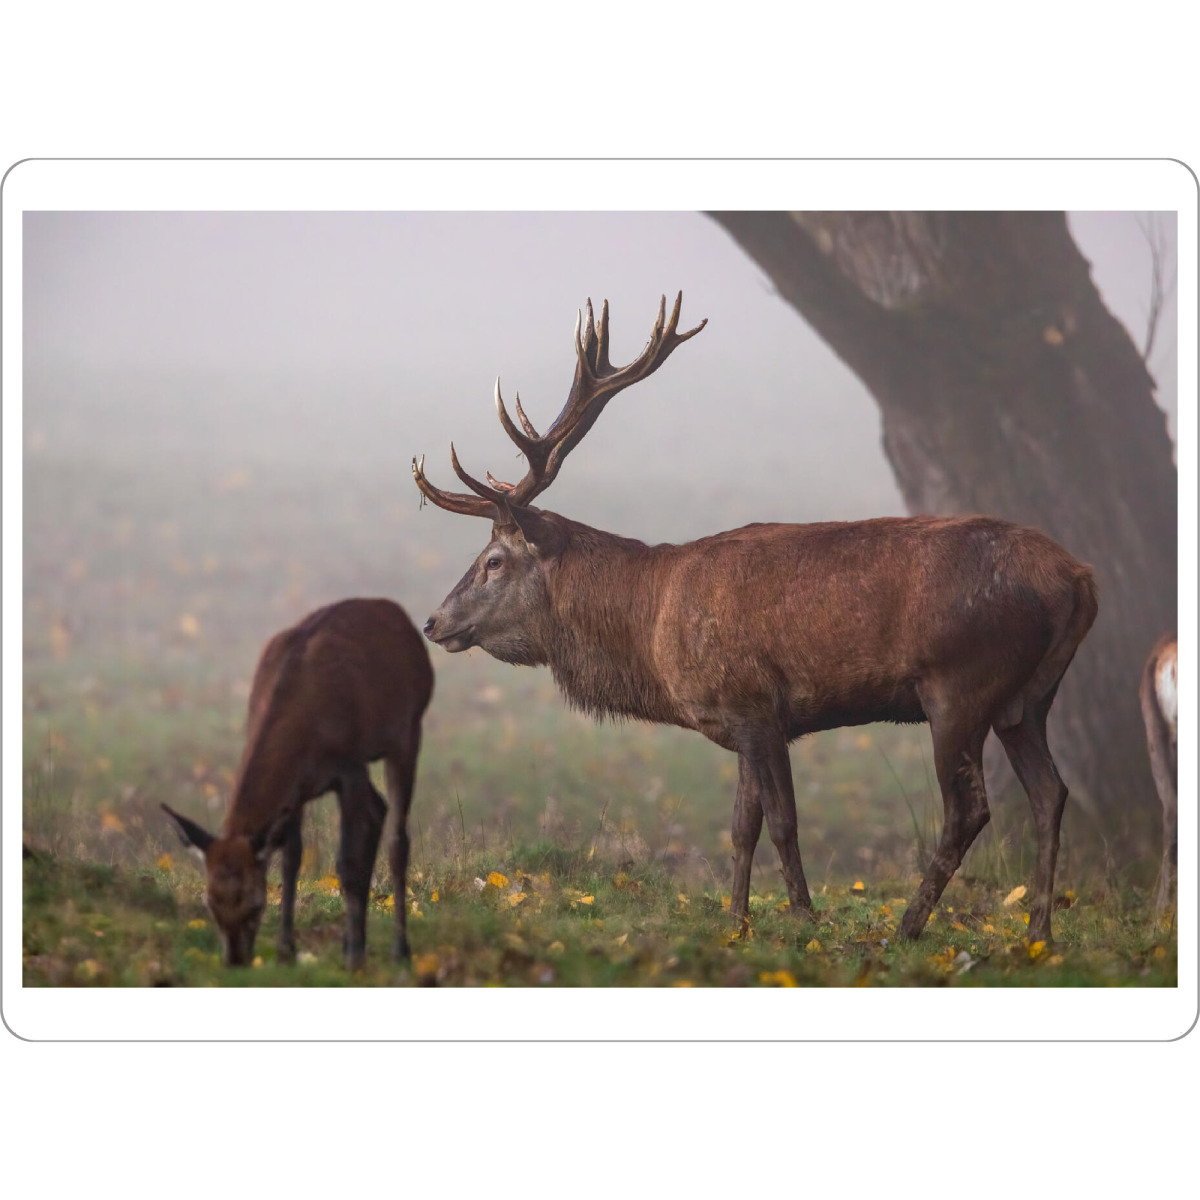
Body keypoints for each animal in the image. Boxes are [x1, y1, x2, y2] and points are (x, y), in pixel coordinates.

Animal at [162, 598, 433, 969]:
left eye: (255, 903)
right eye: (209, 904)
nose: (235, 961)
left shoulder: (348, 765)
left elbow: (346, 863)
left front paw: (354, 958)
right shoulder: (298, 789)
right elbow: (292, 859)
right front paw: (285, 949)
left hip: (407, 731)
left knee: (397, 837)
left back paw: (398, 948)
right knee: (378, 810)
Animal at [413, 293, 1099, 945]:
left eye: (494, 560)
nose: (434, 623)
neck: (654, 627)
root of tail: (1079, 579)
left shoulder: (758, 704)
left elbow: (784, 823)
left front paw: (804, 919)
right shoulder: (737, 716)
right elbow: (742, 825)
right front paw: (737, 921)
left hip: (960, 684)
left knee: (969, 808)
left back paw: (909, 926)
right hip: (1027, 698)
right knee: (1050, 792)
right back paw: (1038, 931)